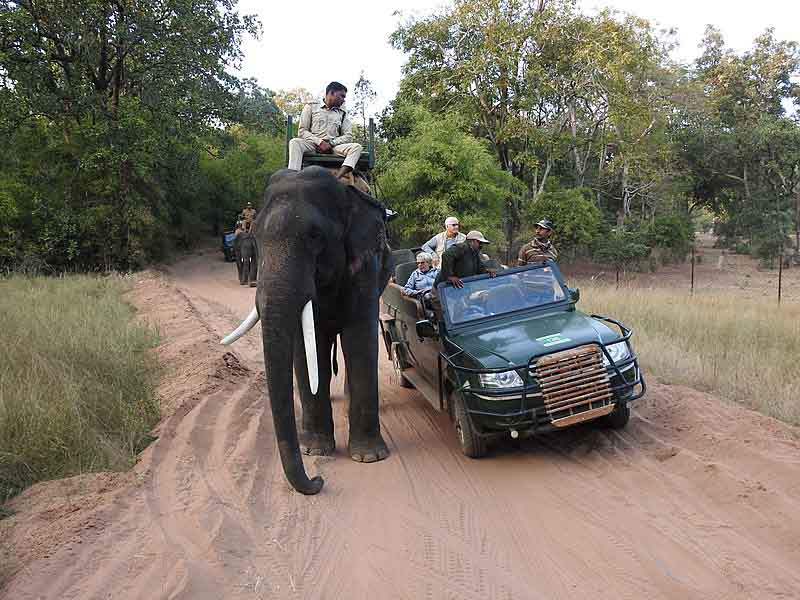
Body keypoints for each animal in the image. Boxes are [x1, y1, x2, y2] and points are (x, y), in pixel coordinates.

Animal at [219, 166, 394, 494]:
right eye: (257, 236)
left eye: (315, 236)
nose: (317, 481)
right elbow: (305, 345)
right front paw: (315, 450)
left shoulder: (366, 265)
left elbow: (359, 339)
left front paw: (369, 458)